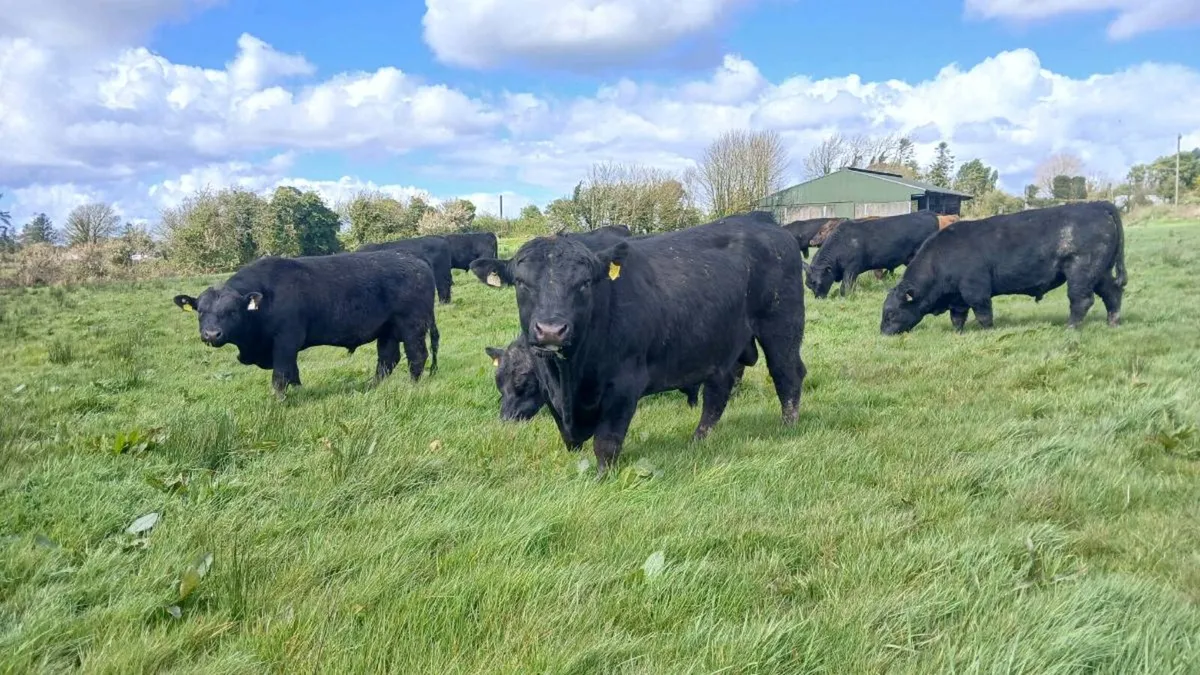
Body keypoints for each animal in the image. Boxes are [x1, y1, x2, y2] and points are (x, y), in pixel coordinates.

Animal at [173, 250, 440, 398]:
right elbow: (293, 372)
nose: (211, 334)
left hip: (412, 325)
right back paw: (371, 387)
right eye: (200, 311)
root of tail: (417, 261)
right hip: (388, 330)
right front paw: (300, 392)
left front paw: (277, 402)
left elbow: (281, 375)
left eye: (231, 311)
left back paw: (411, 385)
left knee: (417, 356)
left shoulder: (286, 341)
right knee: (387, 360)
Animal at [805, 211, 940, 298]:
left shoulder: (851, 269)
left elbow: (845, 286)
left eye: (817, 282)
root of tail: (929, 214)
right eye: (808, 285)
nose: (819, 298)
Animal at [880, 201, 1127, 334]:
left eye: (890, 313)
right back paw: (1112, 322)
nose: (883, 334)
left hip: (1081, 271)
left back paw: (1071, 327)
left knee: (1081, 301)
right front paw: (958, 334)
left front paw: (987, 332)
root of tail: (1097, 205)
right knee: (1112, 294)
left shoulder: (976, 290)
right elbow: (957, 318)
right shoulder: (958, 298)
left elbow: (983, 315)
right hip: (1101, 273)